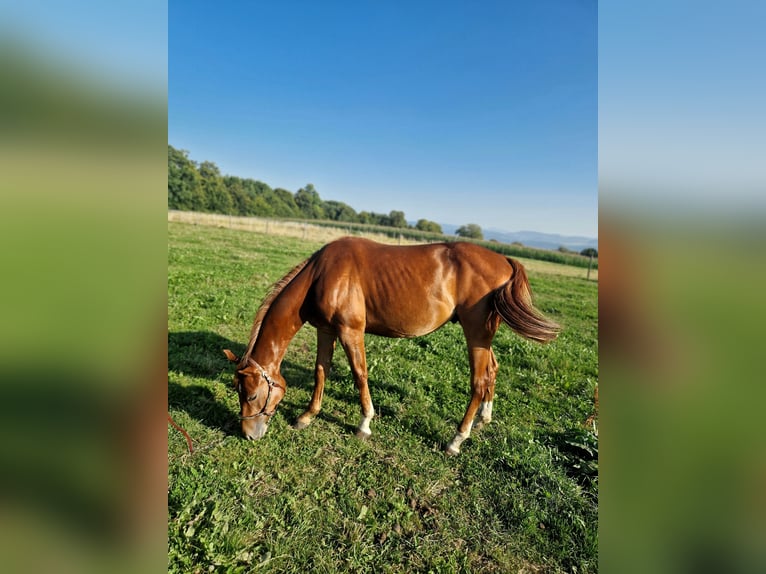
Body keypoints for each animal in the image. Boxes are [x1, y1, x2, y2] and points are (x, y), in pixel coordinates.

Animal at [223, 236, 559, 455]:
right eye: (238, 391)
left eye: (251, 395)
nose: (249, 435)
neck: (321, 274)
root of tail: (504, 260)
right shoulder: (326, 330)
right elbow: (321, 371)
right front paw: (307, 416)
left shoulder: (350, 332)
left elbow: (359, 374)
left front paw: (364, 424)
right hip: (485, 336)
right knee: (492, 371)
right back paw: (483, 420)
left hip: (475, 334)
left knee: (478, 382)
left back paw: (456, 440)